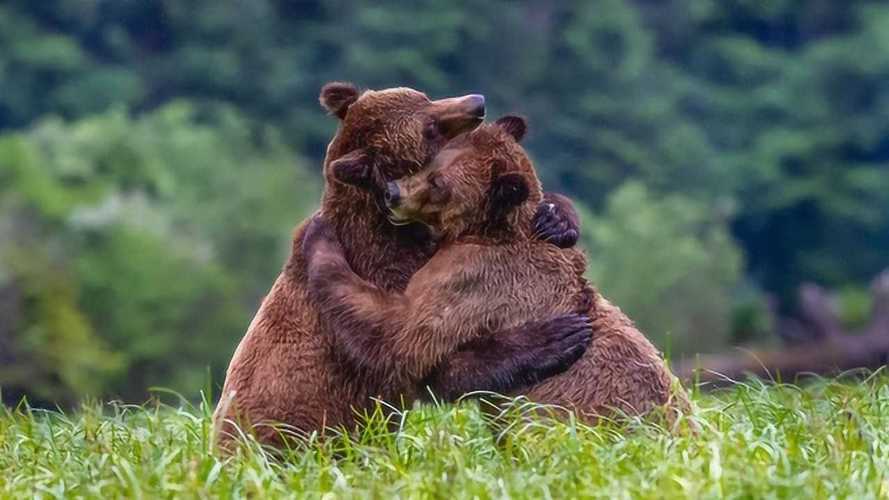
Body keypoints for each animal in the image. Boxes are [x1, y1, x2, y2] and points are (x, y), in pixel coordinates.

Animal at [302, 115, 692, 424]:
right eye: (428, 163)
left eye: (439, 183)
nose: (392, 194)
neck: (484, 230)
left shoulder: (474, 277)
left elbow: (403, 332)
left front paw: (320, 240)